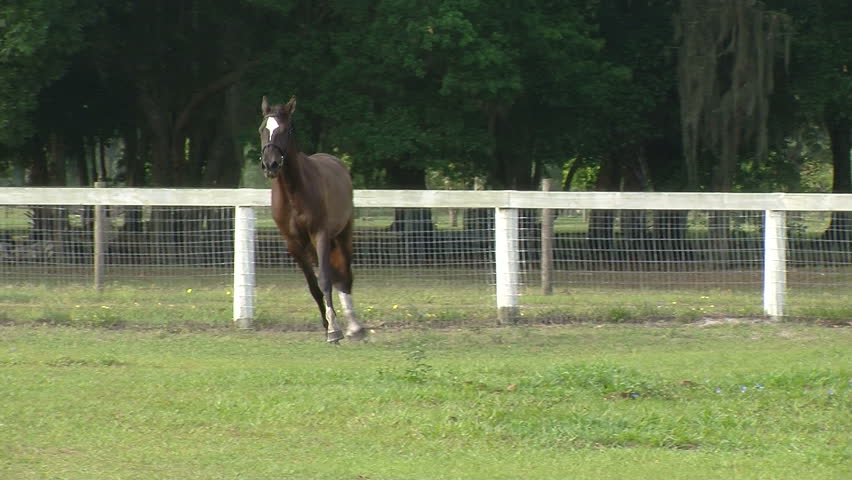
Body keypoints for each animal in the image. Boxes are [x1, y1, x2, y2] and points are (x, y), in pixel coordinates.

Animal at [258, 96, 365, 343]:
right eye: (262, 129)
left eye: (285, 130)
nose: (270, 165)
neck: (293, 192)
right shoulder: (294, 244)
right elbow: (314, 286)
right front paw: (327, 326)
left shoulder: (320, 235)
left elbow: (325, 280)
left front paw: (334, 331)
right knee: (337, 276)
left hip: (342, 236)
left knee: (344, 277)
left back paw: (355, 328)